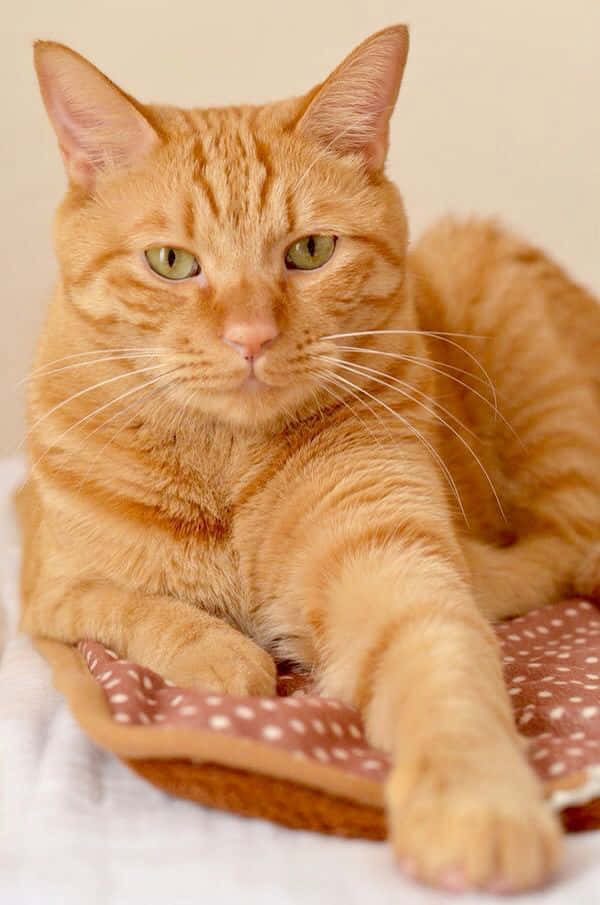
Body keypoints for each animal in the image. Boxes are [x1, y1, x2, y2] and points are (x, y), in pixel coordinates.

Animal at [18, 24, 600, 892]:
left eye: (311, 251)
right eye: (171, 262)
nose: (251, 337)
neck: (224, 465)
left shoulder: (389, 559)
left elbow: (442, 658)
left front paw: (478, 802)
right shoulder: (44, 586)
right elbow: (129, 604)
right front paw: (222, 651)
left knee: (562, 552)